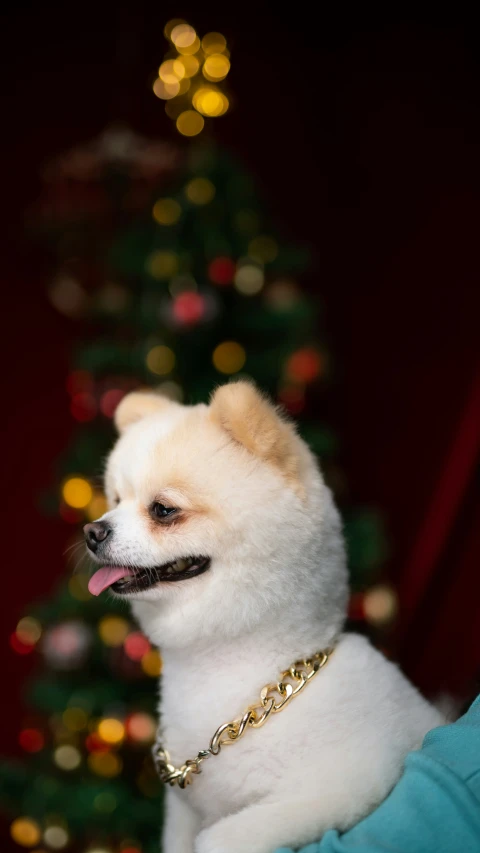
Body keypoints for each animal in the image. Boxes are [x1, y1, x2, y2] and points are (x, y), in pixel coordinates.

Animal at [85, 382, 442, 848]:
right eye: (114, 500)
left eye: (163, 509)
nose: (92, 531)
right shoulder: (184, 811)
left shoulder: (347, 785)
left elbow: (223, 838)